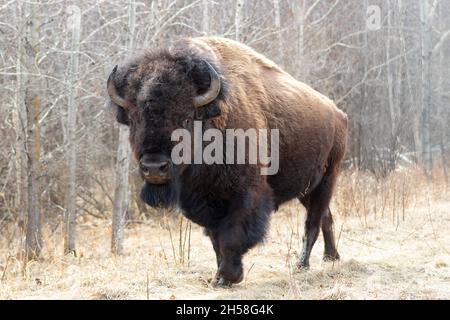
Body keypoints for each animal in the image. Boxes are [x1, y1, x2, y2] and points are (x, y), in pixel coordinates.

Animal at [105, 36, 348, 286]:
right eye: (134, 119)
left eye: (186, 118)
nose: (154, 167)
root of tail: (338, 113)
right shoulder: (205, 202)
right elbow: (216, 240)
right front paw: (219, 275)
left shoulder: (246, 195)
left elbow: (231, 236)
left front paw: (227, 277)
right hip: (306, 189)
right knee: (326, 217)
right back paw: (331, 257)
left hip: (327, 179)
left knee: (313, 223)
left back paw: (303, 264)